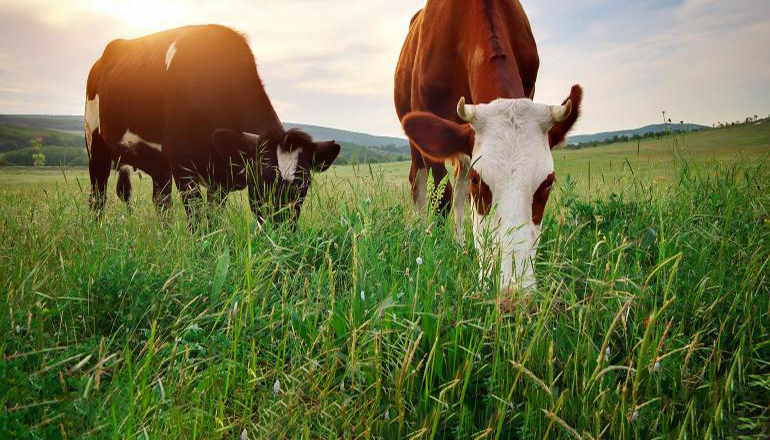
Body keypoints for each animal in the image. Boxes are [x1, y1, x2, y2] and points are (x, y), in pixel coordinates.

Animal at [84, 24, 340, 223]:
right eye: (264, 181)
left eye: (303, 186)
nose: (281, 233)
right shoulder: (183, 165)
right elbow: (197, 219)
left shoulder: (220, 179)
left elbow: (213, 218)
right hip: (95, 145)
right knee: (98, 197)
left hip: (158, 165)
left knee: (161, 202)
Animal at [392, 0, 580, 292]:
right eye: (479, 182)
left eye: (548, 184)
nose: (513, 290)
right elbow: (441, 196)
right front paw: (434, 249)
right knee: (419, 182)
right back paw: (422, 232)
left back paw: (460, 243)